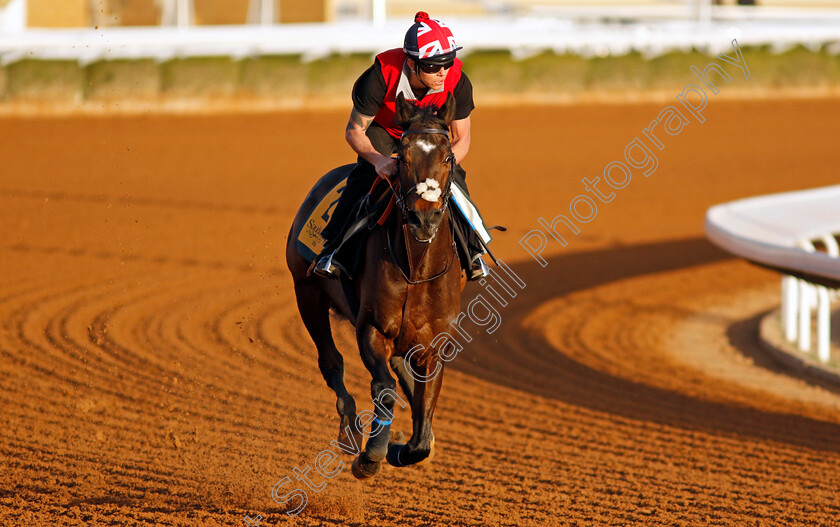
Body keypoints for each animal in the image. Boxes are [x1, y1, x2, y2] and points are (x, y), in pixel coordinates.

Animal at [286, 93, 462, 480]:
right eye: (402, 157)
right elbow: (383, 387)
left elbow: (422, 418)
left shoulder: (435, 343)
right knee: (331, 362)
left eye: (447, 157)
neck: (416, 267)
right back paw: (350, 431)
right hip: (306, 291)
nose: (423, 218)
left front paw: (407, 445)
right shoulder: (371, 327)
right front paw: (373, 452)